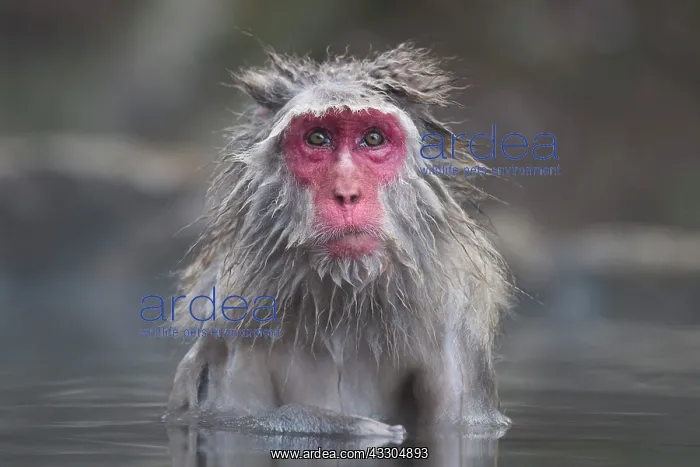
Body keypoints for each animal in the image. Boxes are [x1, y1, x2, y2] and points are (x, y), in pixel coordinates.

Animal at [165, 43, 512, 441]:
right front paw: (350, 427)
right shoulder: (234, 328)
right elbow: (226, 422)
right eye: (318, 138)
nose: (347, 193)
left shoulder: (457, 334)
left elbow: (463, 428)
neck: (344, 310)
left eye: (373, 138)